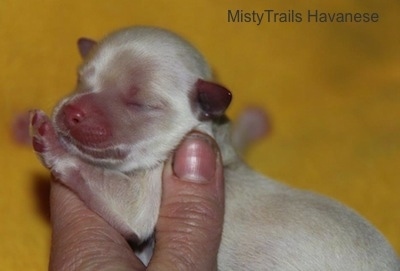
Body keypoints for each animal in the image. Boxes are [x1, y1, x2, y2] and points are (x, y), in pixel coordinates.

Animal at [30, 26, 396, 270]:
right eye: (80, 79)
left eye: (140, 103)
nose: (70, 112)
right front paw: (252, 122)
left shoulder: (150, 191)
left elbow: (126, 204)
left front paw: (50, 139)